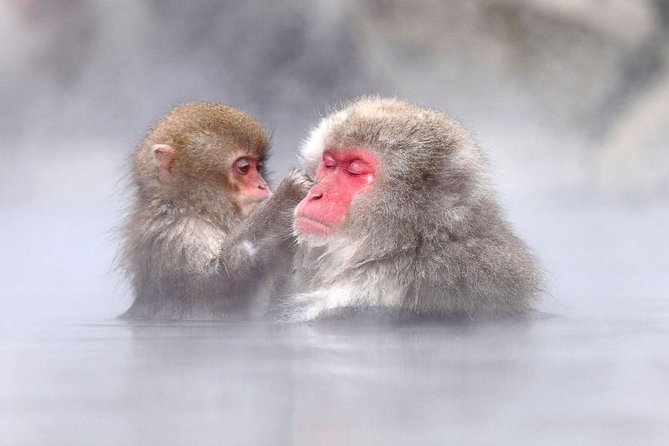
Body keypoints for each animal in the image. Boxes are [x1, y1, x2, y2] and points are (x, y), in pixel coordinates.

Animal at [117, 102, 309, 320]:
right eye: (244, 167)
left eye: (258, 167)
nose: (263, 185)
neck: (199, 208)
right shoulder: (176, 234)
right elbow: (216, 286)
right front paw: (284, 200)